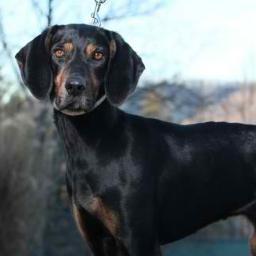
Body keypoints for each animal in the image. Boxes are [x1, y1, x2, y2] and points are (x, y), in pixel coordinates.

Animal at [15, 23, 256, 254]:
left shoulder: (140, 239)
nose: (75, 87)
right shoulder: (97, 241)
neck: (92, 141)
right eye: (58, 52)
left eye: (98, 55)